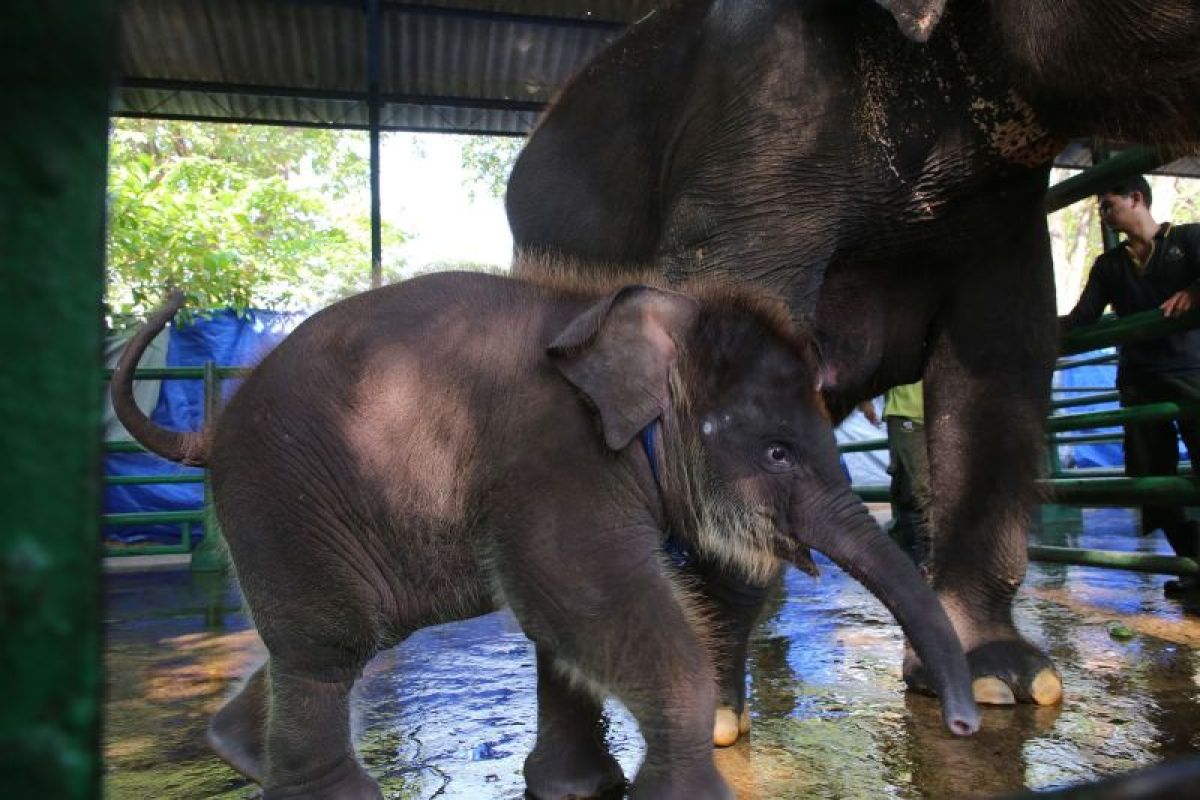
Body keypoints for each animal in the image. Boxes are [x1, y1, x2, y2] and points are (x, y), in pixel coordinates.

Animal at [110, 263, 974, 800]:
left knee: (340, 637)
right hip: (285, 497)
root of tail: (210, 426)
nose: (962, 724)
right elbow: (588, 594)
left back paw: (234, 750)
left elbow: (565, 625)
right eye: (778, 452)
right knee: (330, 648)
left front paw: (581, 789)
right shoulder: (554, 457)